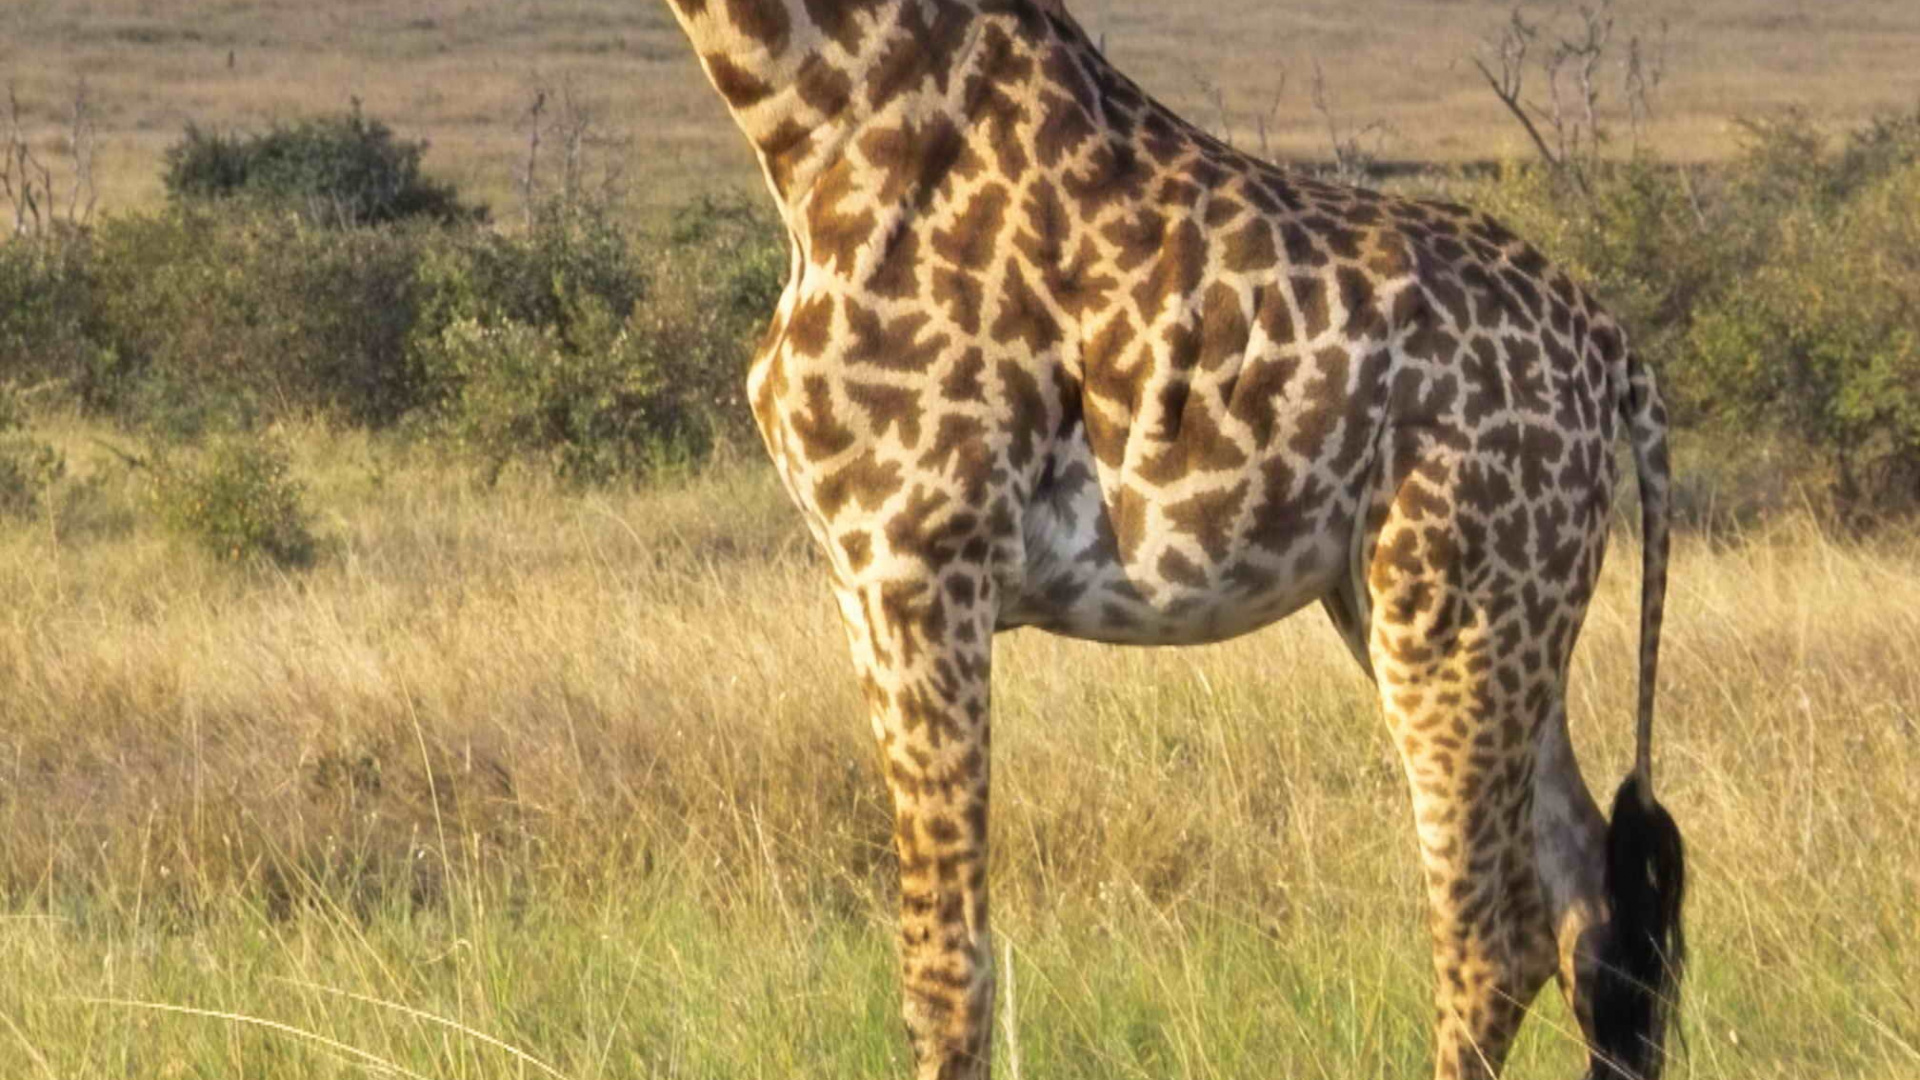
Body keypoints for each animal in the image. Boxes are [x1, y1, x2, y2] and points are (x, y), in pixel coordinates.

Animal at [657, 1, 1687, 1076]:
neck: (824, 122)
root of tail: (1616, 358)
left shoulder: (921, 555)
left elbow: (945, 974)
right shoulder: (861, 579)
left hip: (1450, 605)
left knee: (1495, 936)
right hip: (1475, 609)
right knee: (1592, 911)